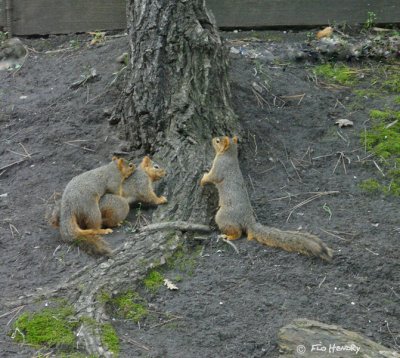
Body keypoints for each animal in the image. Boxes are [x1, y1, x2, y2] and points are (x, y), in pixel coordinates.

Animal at [202, 136, 332, 262]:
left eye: (217, 141)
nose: (212, 139)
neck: (229, 155)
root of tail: (248, 219)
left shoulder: (220, 167)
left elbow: (212, 177)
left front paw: (202, 179)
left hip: (223, 216)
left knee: (237, 232)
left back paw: (228, 236)